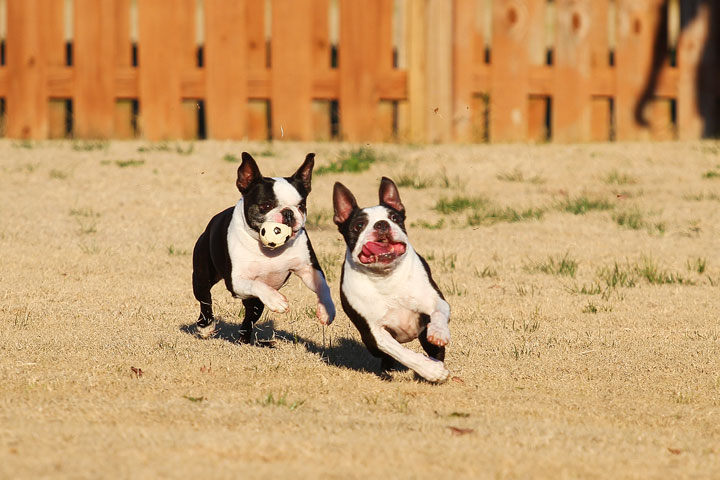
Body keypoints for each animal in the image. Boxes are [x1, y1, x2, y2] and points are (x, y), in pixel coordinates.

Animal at [193, 153, 336, 342]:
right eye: (266, 206)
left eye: (301, 206)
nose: (288, 213)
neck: (270, 249)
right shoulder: (236, 280)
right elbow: (258, 285)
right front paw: (276, 300)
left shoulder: (308, 268)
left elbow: (323, 286)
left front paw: (327, 309)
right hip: (201, 275)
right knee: (205, 299)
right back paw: (205, 326)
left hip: (254, 303)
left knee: (250, 315)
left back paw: (244, 340)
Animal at [332, 176, 450, 382]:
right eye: (358, 225)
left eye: (395, 218)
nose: (381, 224)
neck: (385, 277)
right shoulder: (374, 333)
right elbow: (402, 353)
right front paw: (430, 370)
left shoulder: (435, 301)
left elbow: (439, 313)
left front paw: (438, 332)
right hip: (371, 344)